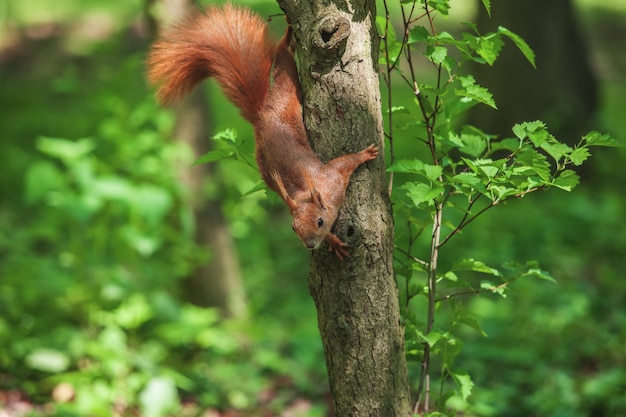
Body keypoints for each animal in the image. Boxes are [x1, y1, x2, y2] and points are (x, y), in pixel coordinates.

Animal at [147, 5, 376, 260]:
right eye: (293, 228)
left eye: (319, 221)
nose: (309, 245)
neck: (310, 194)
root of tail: (261, 114)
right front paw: (334, 241)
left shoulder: (333, 180)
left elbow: (344, 163)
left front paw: (365, 154)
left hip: (287, 92)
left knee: (283, 61)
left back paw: (287, 39)